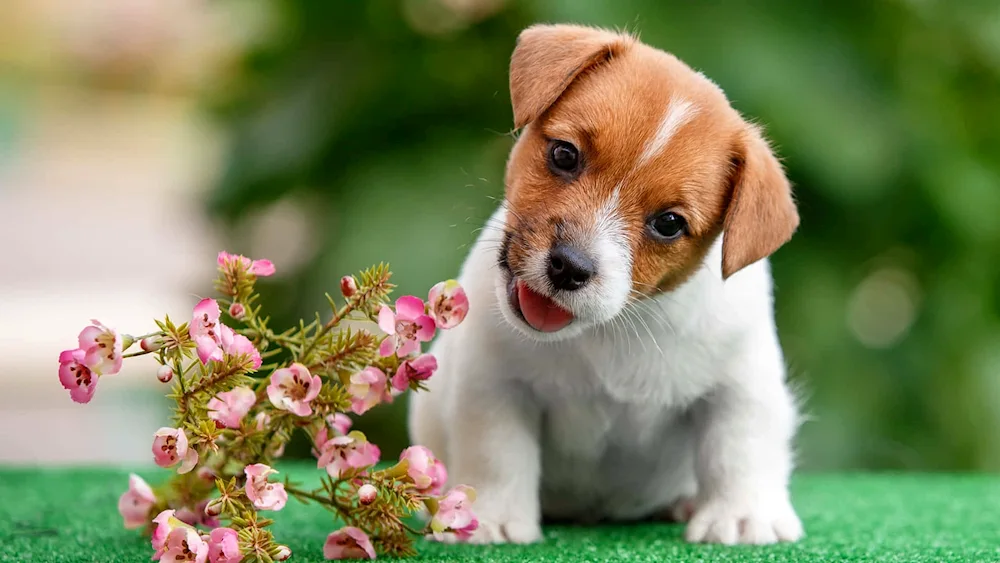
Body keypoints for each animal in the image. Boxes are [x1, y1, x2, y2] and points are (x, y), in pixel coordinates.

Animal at [406, 23, 804, 548]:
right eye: (564, 154)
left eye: (669, 223)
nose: (569, 267)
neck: (609, 330)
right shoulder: (495, 386)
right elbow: (497, 453)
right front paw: (492, 516)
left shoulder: (741, 385)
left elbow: (740, 447)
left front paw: (742, 516)